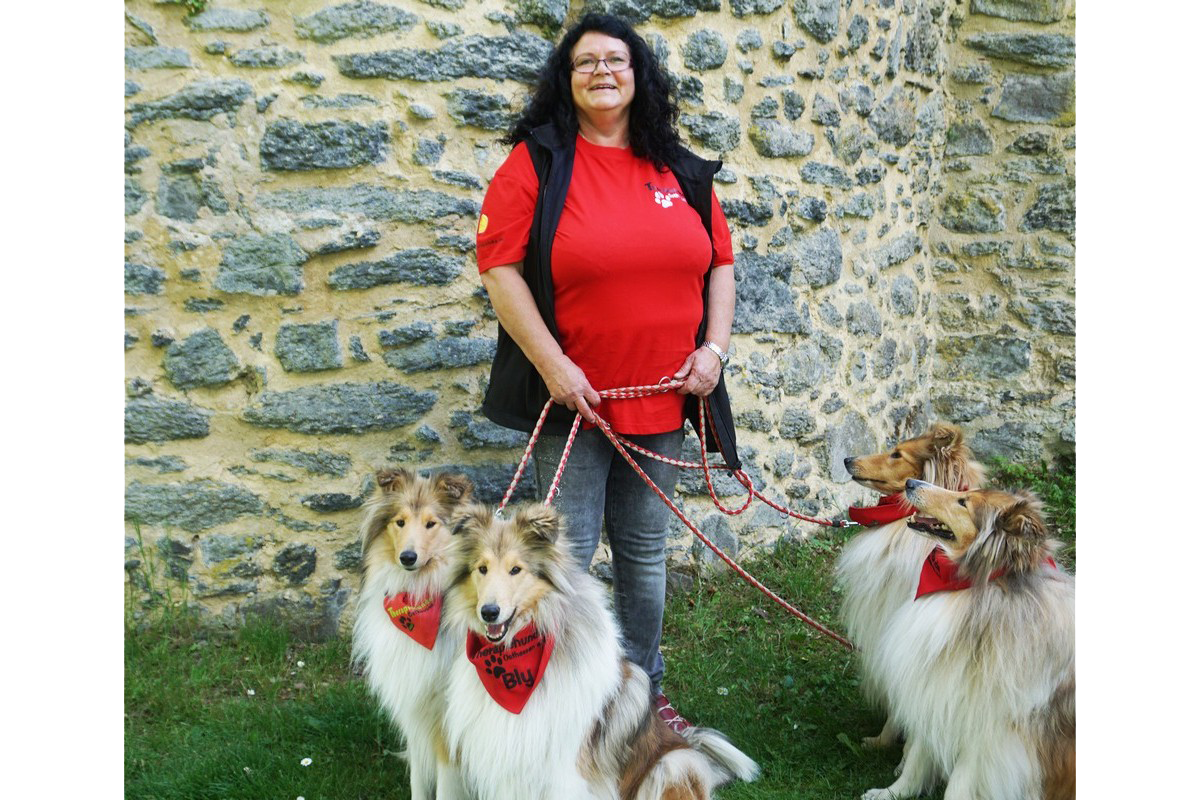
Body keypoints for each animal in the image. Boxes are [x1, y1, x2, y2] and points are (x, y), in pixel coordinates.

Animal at [350, 470, 472, 800]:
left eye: (431, 523)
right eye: (400, 522)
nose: (407, 557)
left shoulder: (447, 726)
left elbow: (445, 787)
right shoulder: (414, 711)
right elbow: (418, 776)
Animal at [441, 506, 758, 800]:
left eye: (516, 569)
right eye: (482, 568)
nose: (489, 612)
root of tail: (690, 743)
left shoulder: (564, 770)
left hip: (673, 764)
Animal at [864, 482, 1080, 800]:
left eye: (963, 502)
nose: (911, 483)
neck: (966, 589)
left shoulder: (987, 736)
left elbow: (958, 786)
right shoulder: (939, 696)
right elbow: (917, 759)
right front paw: (889, 793)